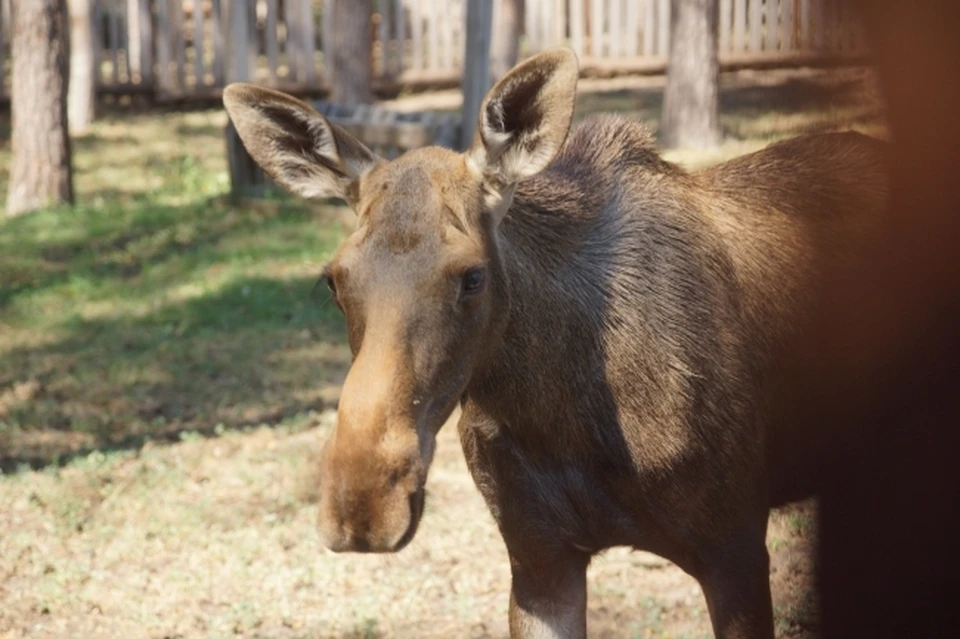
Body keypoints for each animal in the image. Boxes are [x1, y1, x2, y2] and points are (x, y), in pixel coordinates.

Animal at [221, 47, 888, 636]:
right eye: (333, 280)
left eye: (472, 275)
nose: (362, 502)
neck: (564, 415)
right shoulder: (539, 559)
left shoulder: (736, 546)